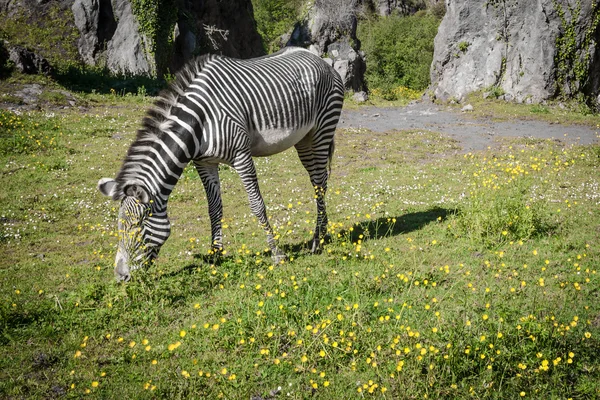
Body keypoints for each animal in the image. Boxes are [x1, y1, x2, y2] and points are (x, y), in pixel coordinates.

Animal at [96, 47, 344, 282]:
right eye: (119, 227)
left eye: (136, 226)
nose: (120, 276)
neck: (199, 122)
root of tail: (318, 58)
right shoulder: (204, 162)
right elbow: (214, 208)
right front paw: (215, 254)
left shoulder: (242, 155)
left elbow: (257, 205)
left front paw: (276, 253)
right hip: (304, 139)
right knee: (319, 181)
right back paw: (322, 234)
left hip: (322, 129)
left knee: (319, 184)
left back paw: (318, 240)